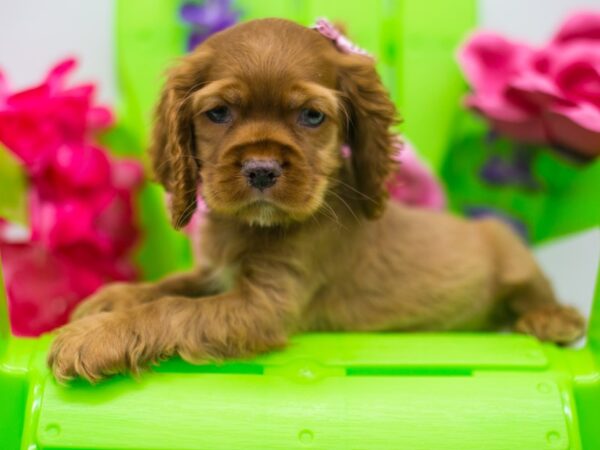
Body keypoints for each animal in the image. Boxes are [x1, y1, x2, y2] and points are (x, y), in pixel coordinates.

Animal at [49, 18, 584, 384]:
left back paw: (551, 318)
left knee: (535, 295)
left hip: (511, 256)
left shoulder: (264, 304)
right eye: (218, 113)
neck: (250, 226)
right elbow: (169, 287)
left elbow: (173, 310)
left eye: (311, 116)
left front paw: (93, 337)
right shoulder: (216, 273)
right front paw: (111, 299)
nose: (261, 169)